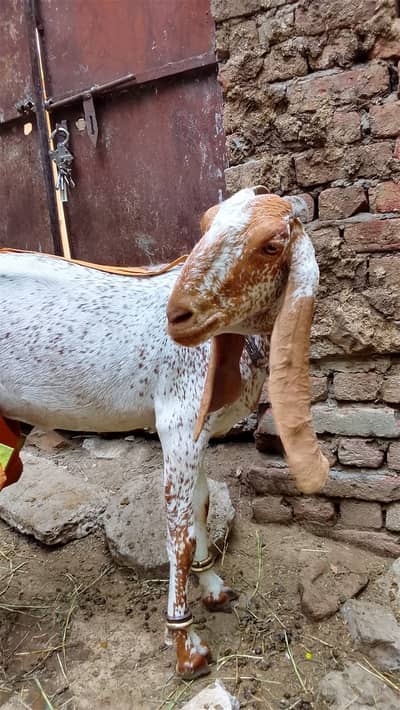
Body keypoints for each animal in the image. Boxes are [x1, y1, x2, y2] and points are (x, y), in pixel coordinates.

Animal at [0, 187, 328, 678]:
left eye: (272, 245)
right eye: (205, 225)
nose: (179, 315)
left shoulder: (198, 431)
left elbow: (202, 507)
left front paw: (214, 589)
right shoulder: (176, 423)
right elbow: (180, 530)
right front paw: (187, 647)